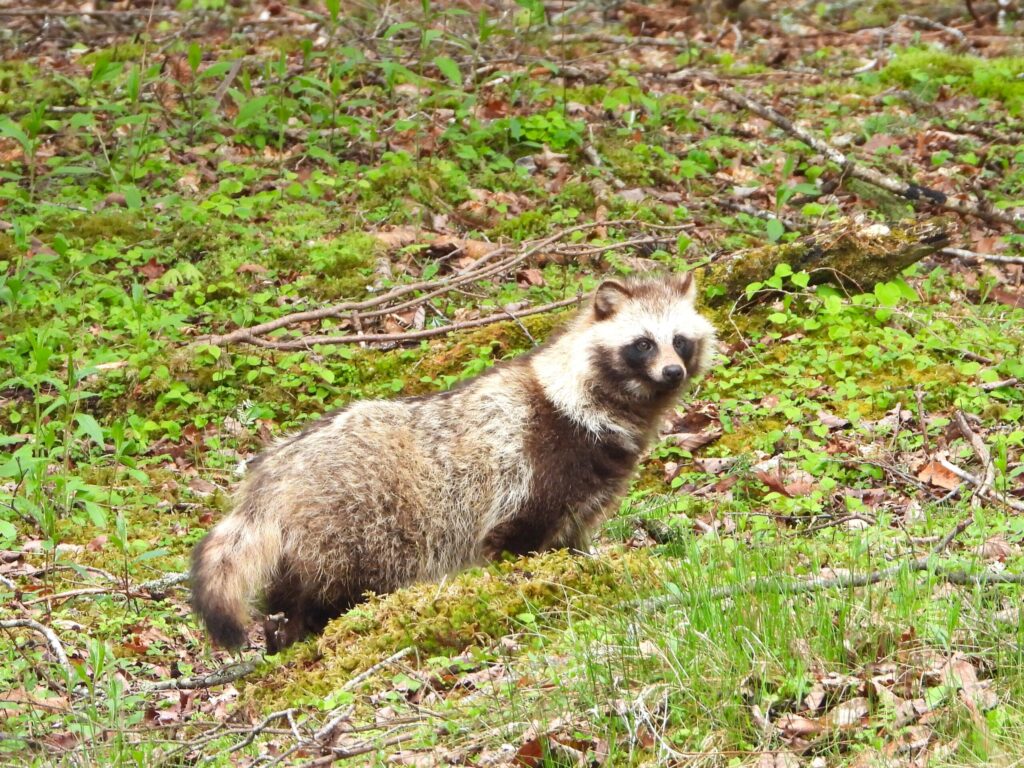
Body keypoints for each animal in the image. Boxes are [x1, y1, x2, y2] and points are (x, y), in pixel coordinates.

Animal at [191, 274, 716, 651]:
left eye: (680, 340)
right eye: (643, 343)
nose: (673, 371)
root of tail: (277, 471)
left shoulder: (589, 485)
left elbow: (573, 542)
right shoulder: (538, 468)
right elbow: (517, 542)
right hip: (350, 525)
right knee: (322, 591)